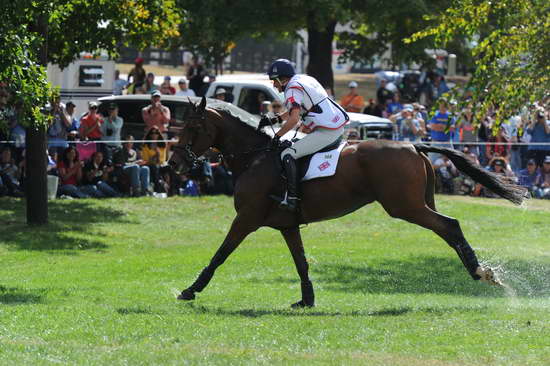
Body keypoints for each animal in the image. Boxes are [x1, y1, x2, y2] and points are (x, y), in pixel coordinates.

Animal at [170, 97, 528, 308]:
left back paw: (480, 272)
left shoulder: (247, 218)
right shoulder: (287, 225)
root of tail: (413, 144)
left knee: (450, 226)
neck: (255, 158)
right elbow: (301, 262)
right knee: (448, 228)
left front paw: (190, 289)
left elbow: (220, 254)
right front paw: (307, 300)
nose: (174, 164)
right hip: (416, 204)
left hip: (405, 207)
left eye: (192, 126)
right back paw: (483, 272)